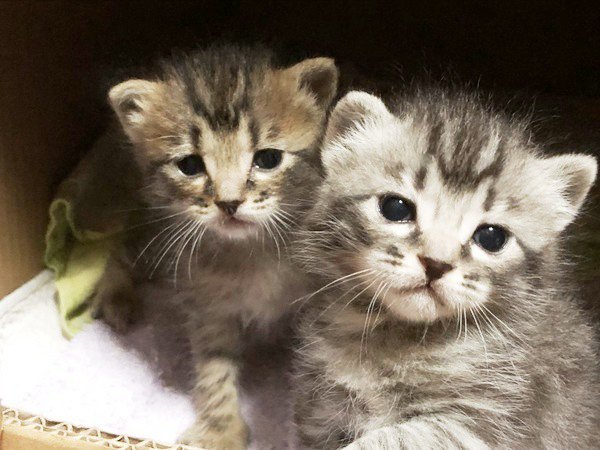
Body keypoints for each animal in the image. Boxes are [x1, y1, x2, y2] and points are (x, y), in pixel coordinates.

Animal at [92, 46, 340, 450]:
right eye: (190, 165)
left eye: (268, 158)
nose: (229, 202)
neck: (252, 252)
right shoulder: (204, 301)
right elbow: (213, 365)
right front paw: (221, 427)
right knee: (123, 249)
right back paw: (115, 298)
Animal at [294, 89, 600, 448]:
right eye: (395, 208)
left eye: (491, 237)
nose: (436, 264)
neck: (396, 339)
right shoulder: (321, 412)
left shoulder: (479, 422)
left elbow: (384, 439)